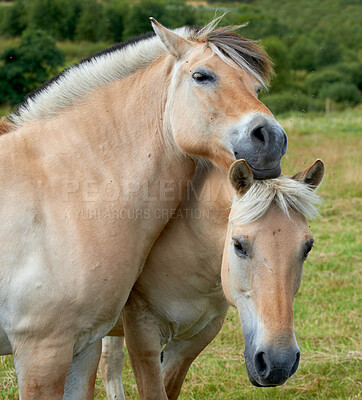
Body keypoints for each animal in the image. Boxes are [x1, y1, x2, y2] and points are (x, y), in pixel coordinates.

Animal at [0, 17, 288, 398]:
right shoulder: (42, 352)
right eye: (202, 76)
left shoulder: (84, 345)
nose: (272, 139)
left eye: (256, 87)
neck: (56, 191)